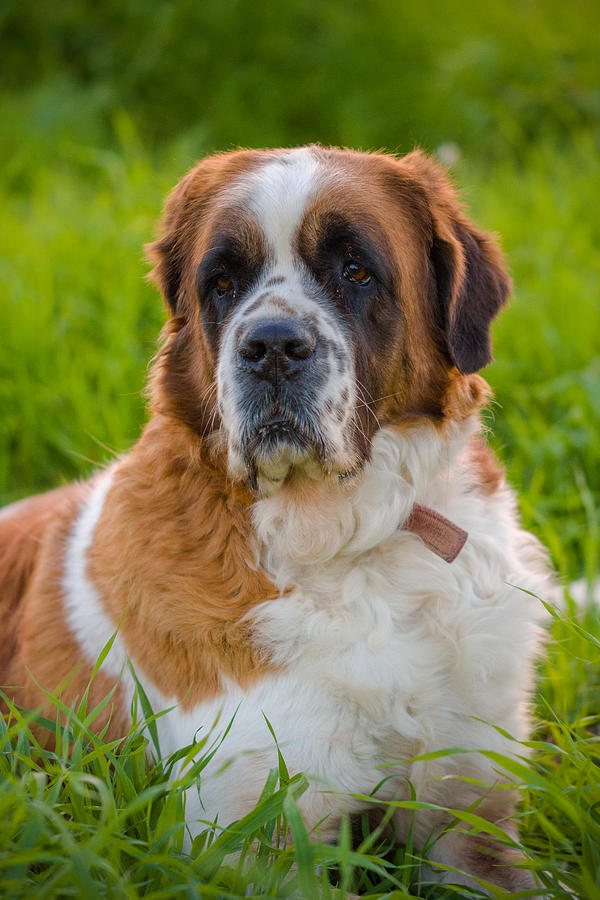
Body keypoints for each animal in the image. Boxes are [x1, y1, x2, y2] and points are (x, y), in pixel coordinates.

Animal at [0, 148, 552, 892]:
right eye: (223, 283)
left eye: (355, 270)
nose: (270, 346)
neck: (354, 544)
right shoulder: (250, 843)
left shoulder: (473, 819)